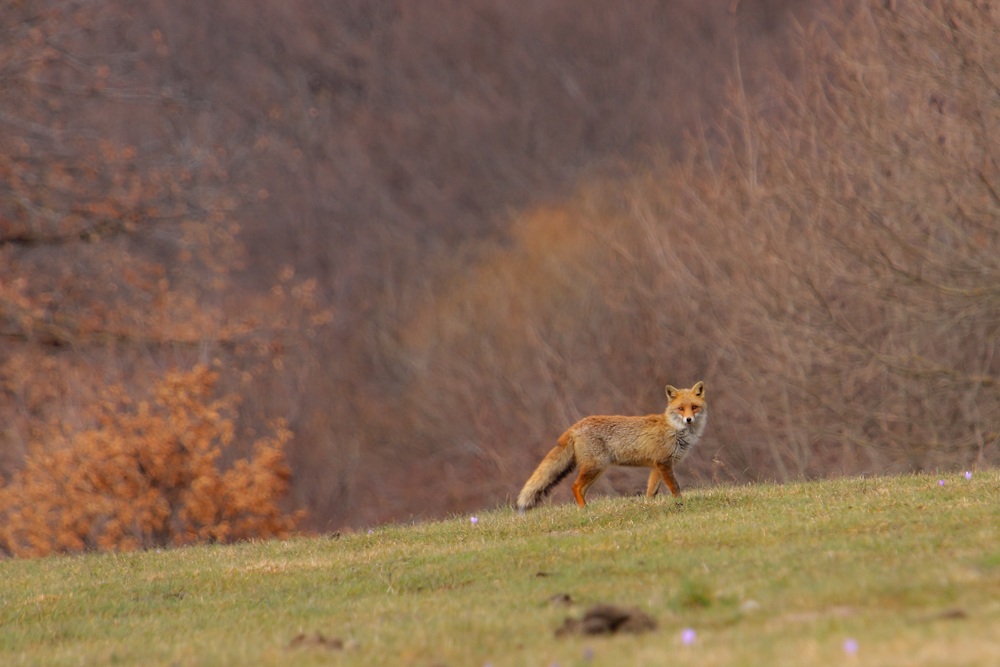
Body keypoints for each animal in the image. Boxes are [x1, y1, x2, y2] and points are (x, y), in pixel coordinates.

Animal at [516, 381, 706, 512]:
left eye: (694, 407)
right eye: (681, 408)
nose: (688, 419)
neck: (675, 430)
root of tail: (576, 425)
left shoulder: (657, 466)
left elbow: (651, 491)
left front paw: (648, 506)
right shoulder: (664, 463)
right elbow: (675, 487)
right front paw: (680, 504)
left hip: (597, 470)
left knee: (581, 489)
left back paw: (585, 507)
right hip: (595, 467)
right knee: (575, 486)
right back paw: (584, 510)